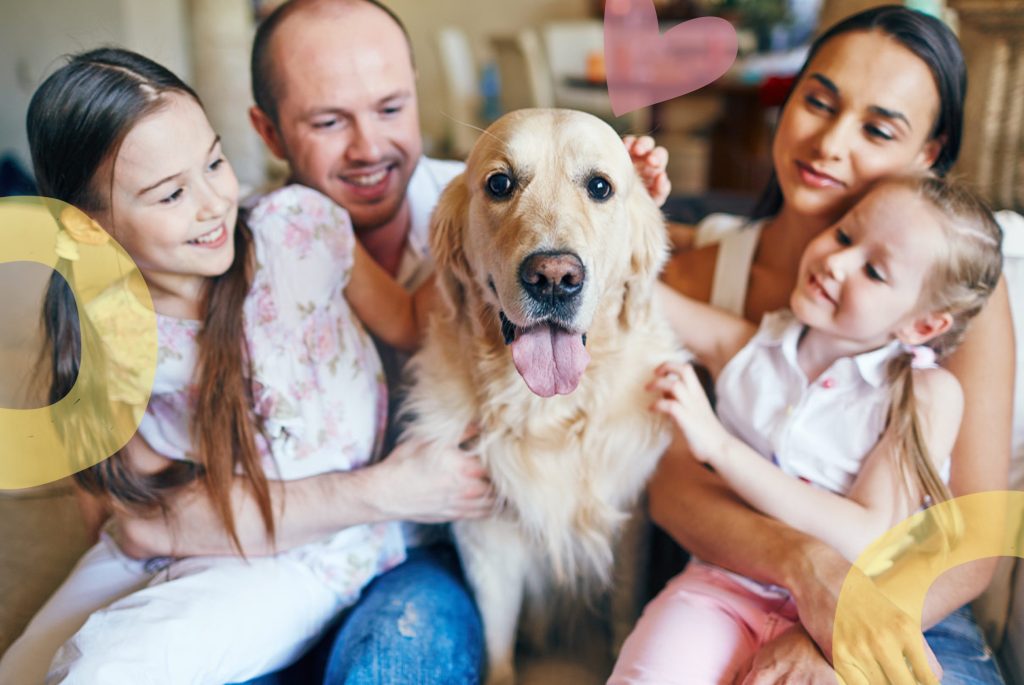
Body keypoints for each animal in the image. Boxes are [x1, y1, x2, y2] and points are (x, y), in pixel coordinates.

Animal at [401, 109, 679, 679]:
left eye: (600, 186)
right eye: (499, 184)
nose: (554, 277)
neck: (549, 413)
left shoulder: (629, 521)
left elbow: (624, 611)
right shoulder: (486, 538)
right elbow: (497, 638)